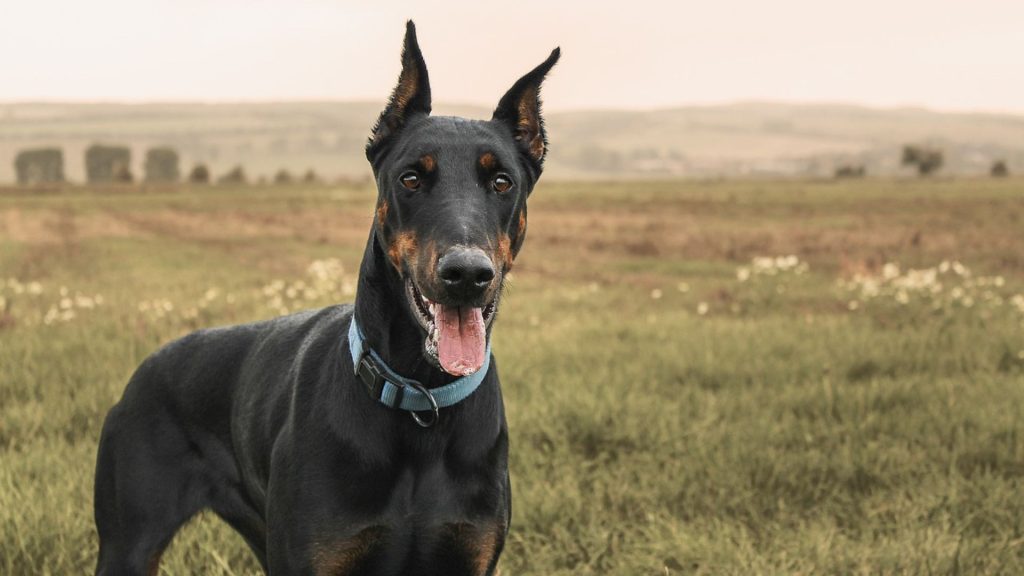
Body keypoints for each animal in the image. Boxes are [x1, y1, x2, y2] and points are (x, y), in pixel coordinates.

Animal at [94, 21, 561, 573]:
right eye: (410, 177)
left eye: (502, 181)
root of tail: (144, 370)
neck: (421, 402)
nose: (466, 273)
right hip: (130, 541)